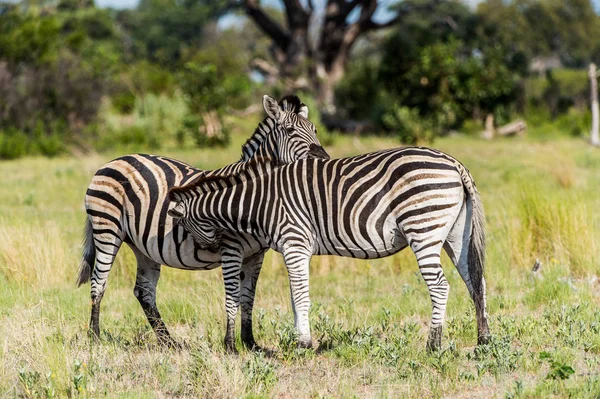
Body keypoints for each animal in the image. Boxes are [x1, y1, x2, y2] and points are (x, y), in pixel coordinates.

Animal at [77, 95, 330, 352]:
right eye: (290, 130)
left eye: (315, 130)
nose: (324, 160)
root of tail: (113, 161)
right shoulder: (231, 249)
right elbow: (233, 296)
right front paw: (231, 346)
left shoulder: (256, 254)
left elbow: (248, 297)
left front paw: (250, 343)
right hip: (107, 229)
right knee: (99, 283)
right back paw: (95, 337)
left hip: (143, 246)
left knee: (144, 291)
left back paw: (169, 341)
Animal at [169, 148, 492, 352]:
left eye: (183, 224)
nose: (209, 248)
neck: (260, 200)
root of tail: (454, 163)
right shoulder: (292, 249)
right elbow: (293, 296)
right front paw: (301, 340)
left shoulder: (295, 242)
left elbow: (300, 296)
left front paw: (304, 343)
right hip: (455, 234)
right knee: (476, 282)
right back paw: (483, 341)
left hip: (423, 226)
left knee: (440, 286)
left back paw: (432, 345)